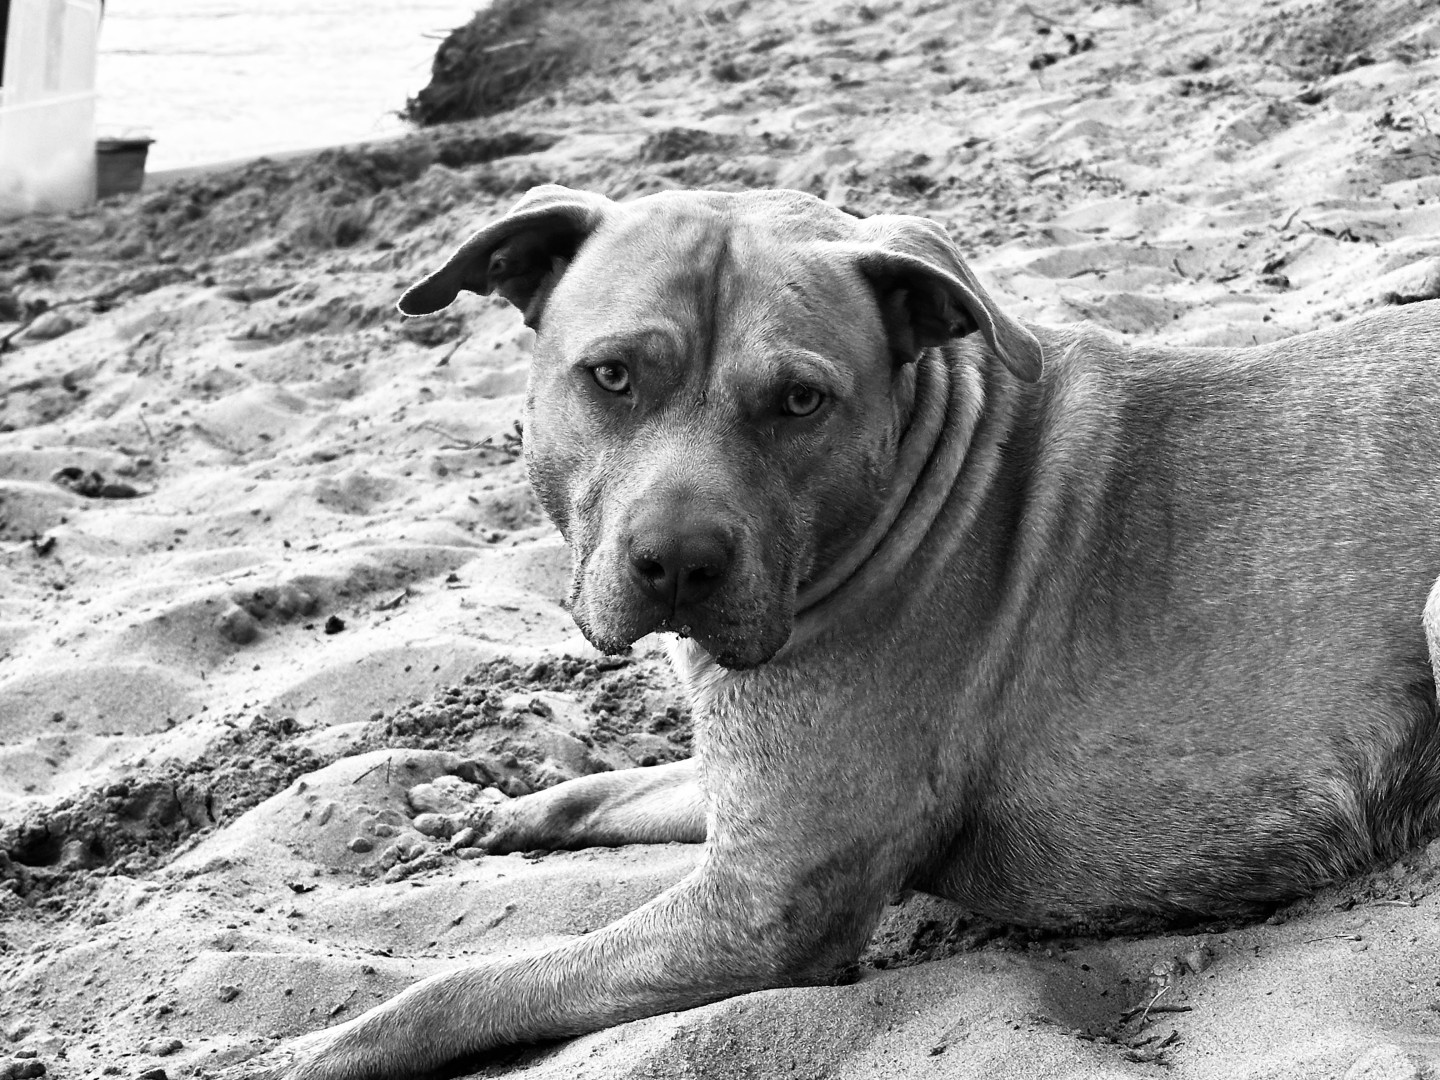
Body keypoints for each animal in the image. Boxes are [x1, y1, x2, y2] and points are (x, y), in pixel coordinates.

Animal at [266, 185, 1440, 1079]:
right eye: (611, 377)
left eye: (799, 401)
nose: (678, 563)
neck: (921, 482)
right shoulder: (746, 791)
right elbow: (607, 789)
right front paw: (484, 808)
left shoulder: (760, 910)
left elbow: (473, 984)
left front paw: (305, 1053)